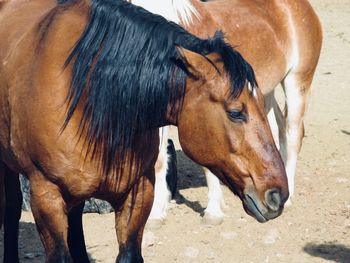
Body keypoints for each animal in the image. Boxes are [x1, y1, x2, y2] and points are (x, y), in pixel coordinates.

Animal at [0, 0, 288, 263]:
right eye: (236, 112)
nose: (278, 194)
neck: (87, 97)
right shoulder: (45, 195)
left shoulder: (138, 193)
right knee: (12, 208)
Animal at [133, 0, 322, 226]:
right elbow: (160, 159)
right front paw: (156, 214)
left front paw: (213, 211)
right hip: (265, 94)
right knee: (277, 129)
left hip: (297, 83)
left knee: (293, 134)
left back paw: (290, 196)